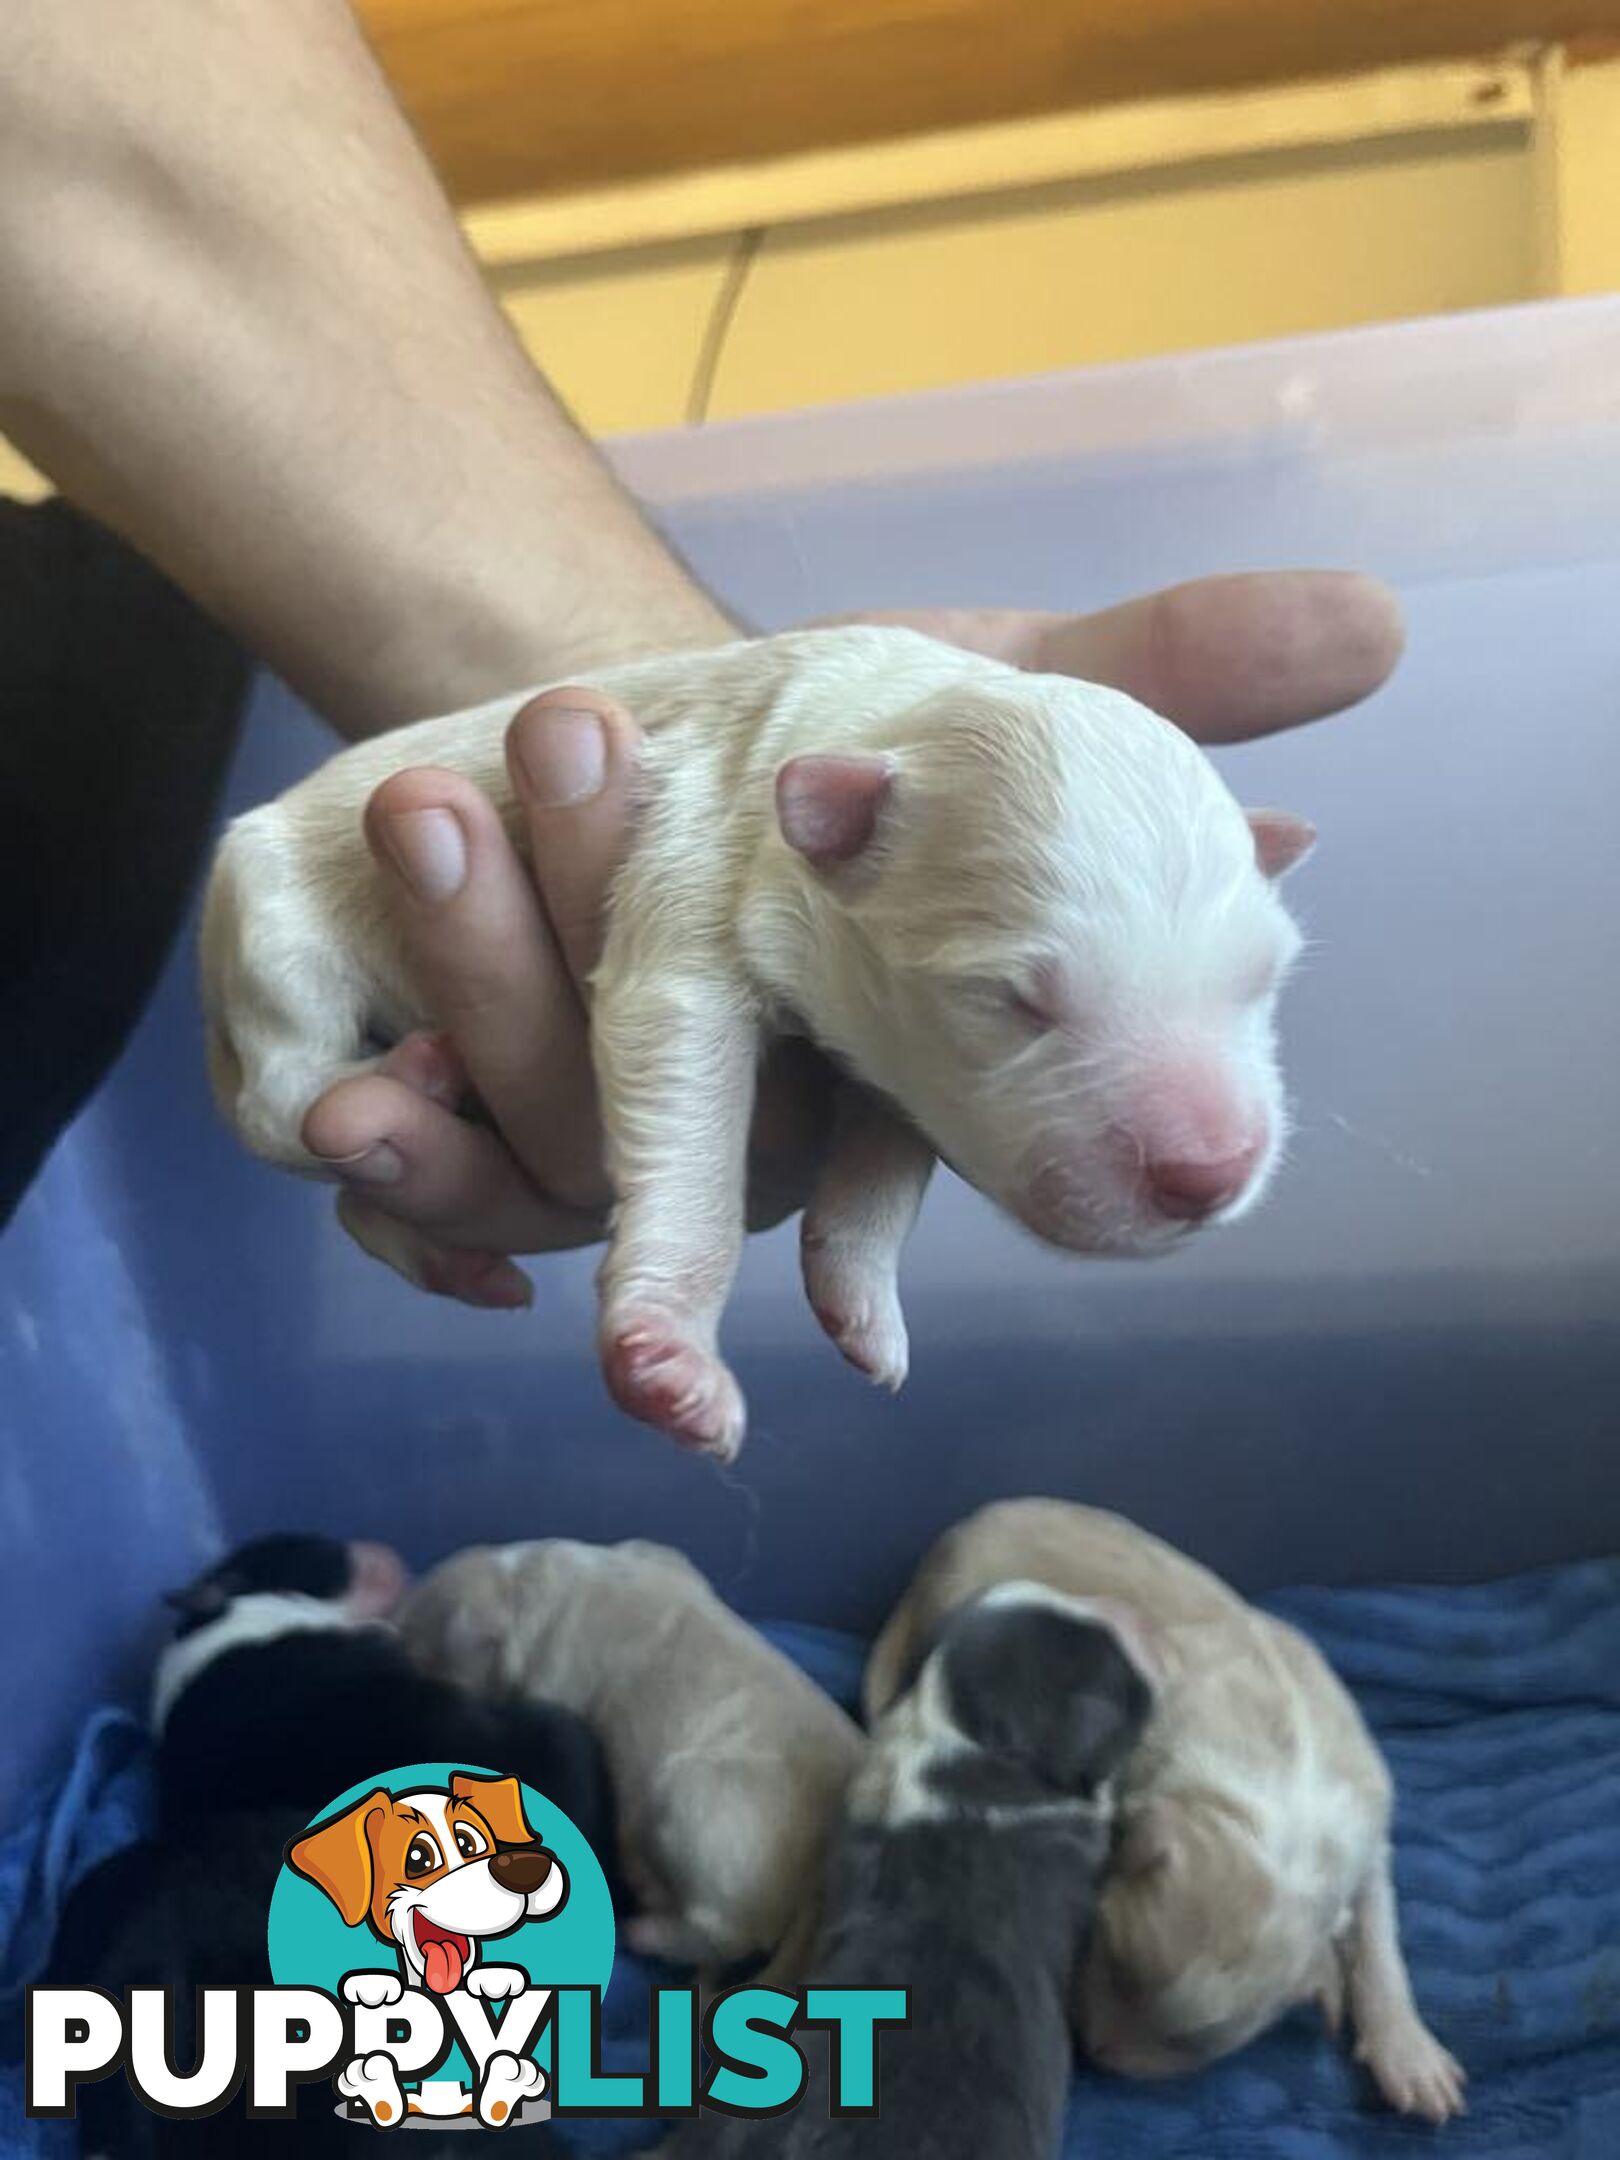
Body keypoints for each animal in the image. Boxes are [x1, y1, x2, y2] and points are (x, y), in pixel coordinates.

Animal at [206, 630, 1321, 1460]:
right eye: (1012, 1001)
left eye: (1265, 980)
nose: (1211, 1173)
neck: (887, 720)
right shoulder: (698, 872)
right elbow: (690, 1112)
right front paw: (672, 1363)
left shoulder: (887, 1052)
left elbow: (885, 1166)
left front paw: (861, 1301)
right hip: (276, 927)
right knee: (285, 1105)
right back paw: (406, 1073)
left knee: (363, 1198)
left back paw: (457, 1256)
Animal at [397, 1537, 868, 1978]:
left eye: (424, 1657)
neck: (519, 1583)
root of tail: (826, 1870)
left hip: (692, 1804)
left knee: (722, 1932)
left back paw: (644, 1928)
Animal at [868, 1503, 1468, 2125]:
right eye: (1108, 1955)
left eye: (1188, 2046)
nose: (1093, 2052)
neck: (1272, 1809)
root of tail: (939, 1553)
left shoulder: (1364, 1833)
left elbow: (1378, 1938)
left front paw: (1410, 2053)